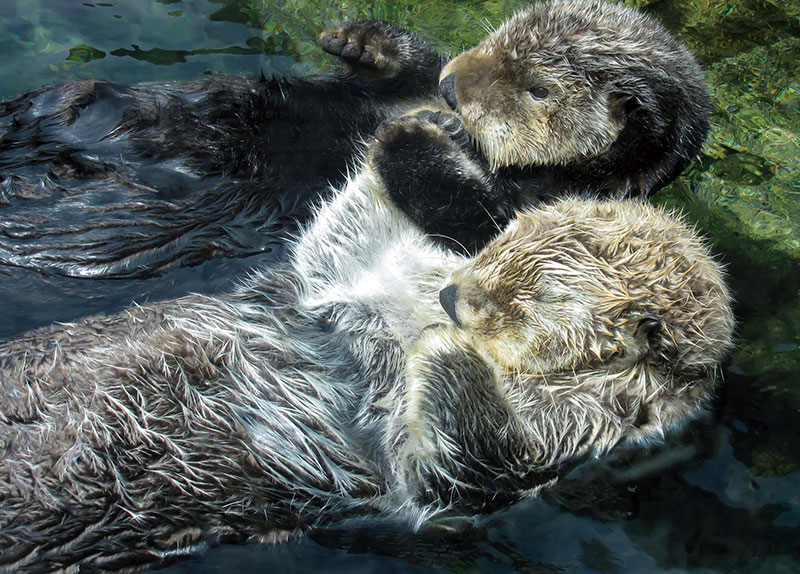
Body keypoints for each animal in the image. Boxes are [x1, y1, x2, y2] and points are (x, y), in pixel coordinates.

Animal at [0, 109, 733, 571]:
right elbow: (339, 243)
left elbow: (462, 468)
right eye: (500, 243)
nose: (452, 301)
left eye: (533, 302)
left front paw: (444, 348)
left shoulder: (578, 432)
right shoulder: (335, 290)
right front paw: (421, 134)